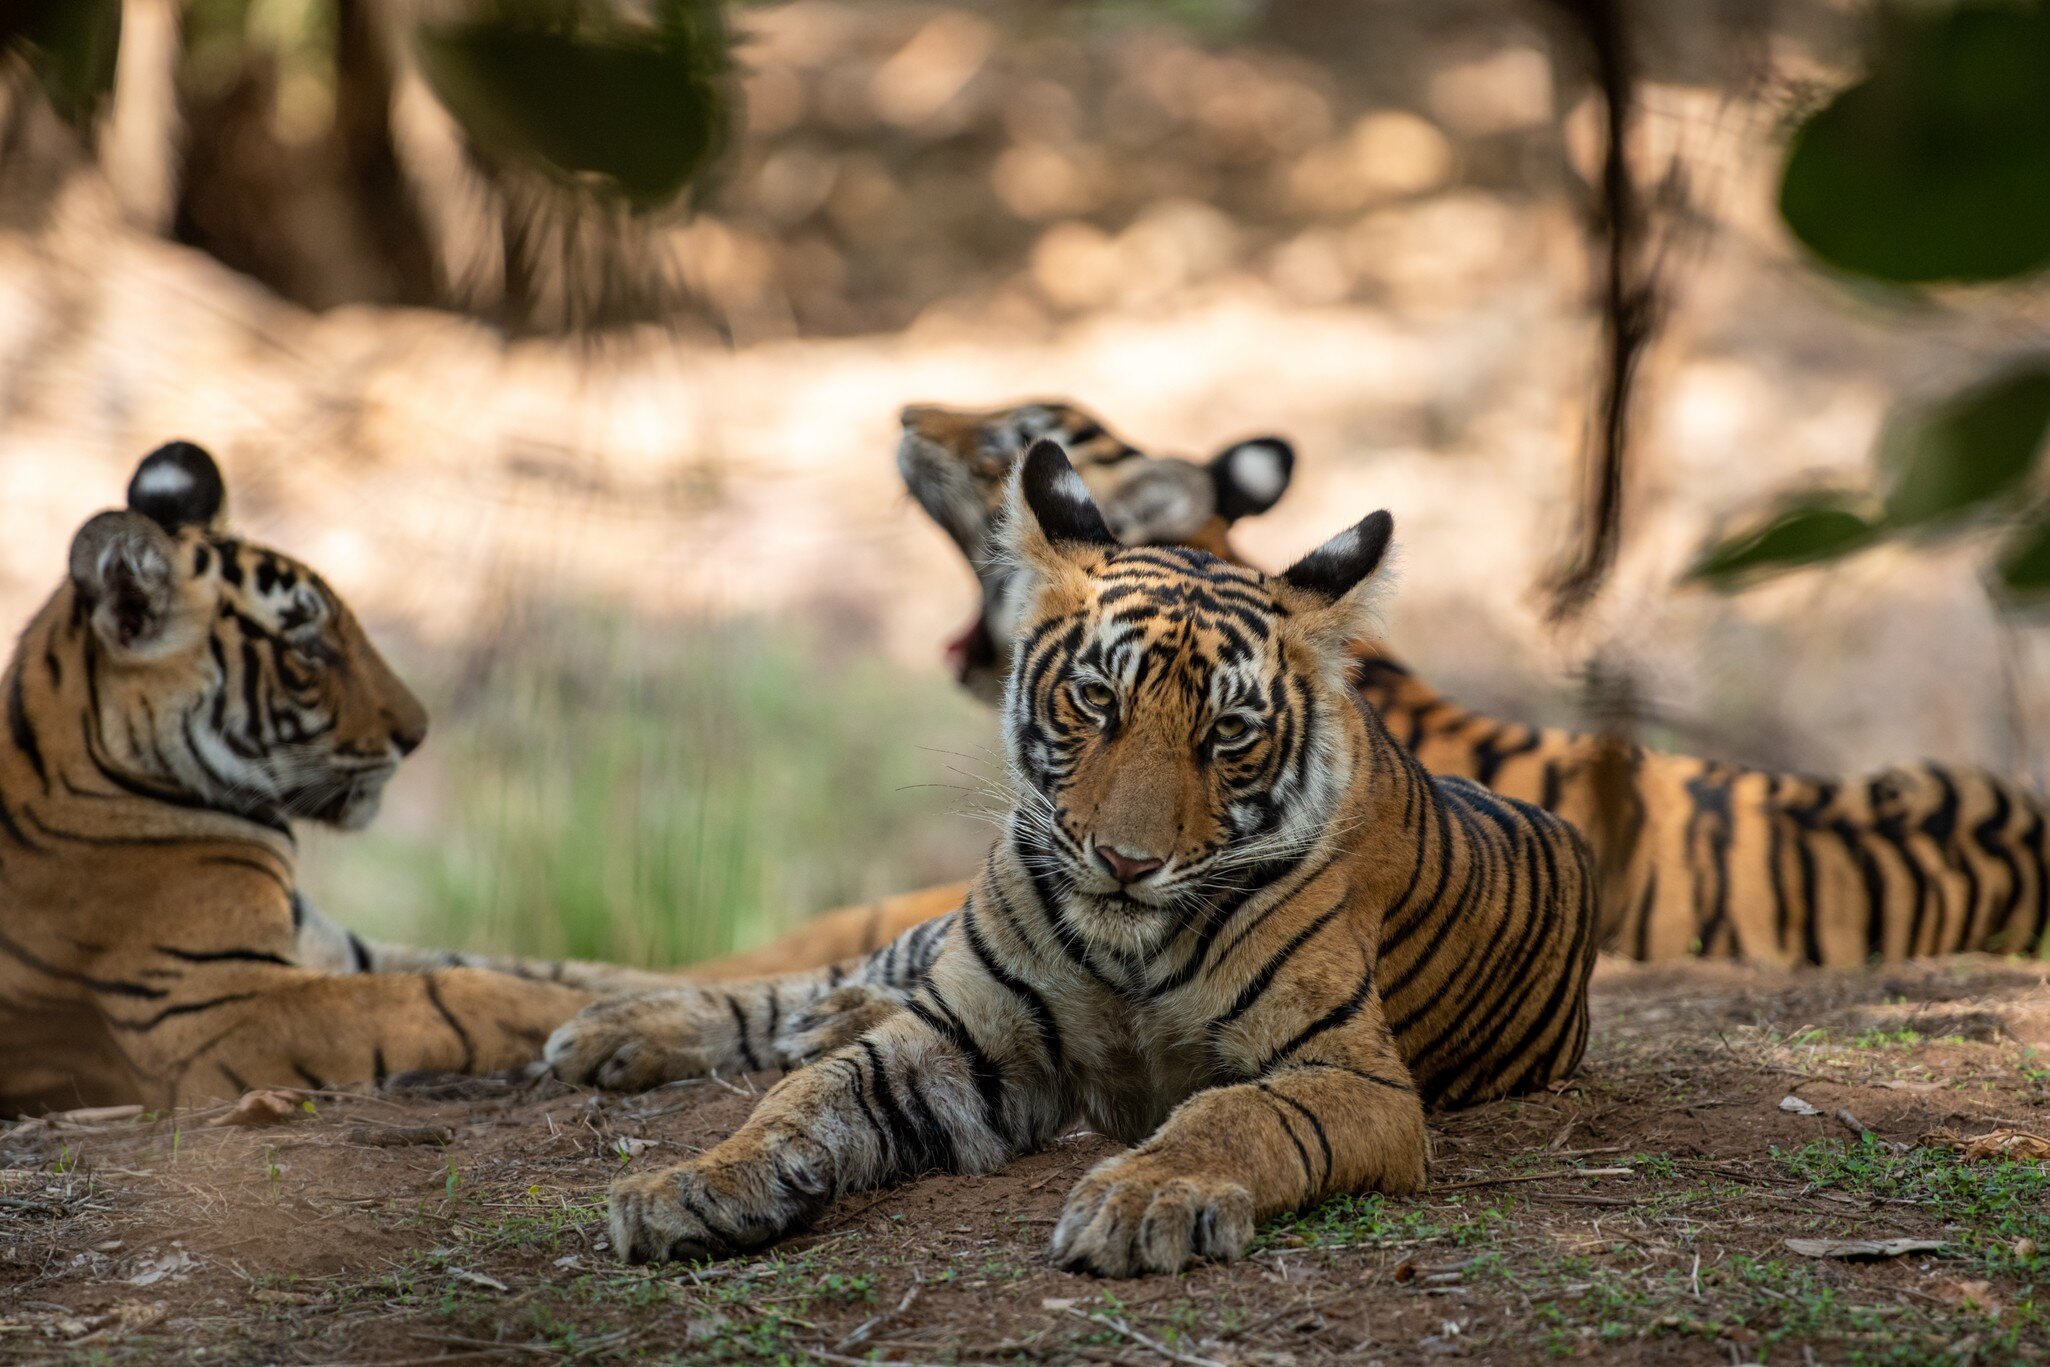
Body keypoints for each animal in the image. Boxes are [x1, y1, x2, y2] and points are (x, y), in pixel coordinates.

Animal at [0, 440, 688, 1115]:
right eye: (309, 646)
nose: (417, 733)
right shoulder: (217, 1002)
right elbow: (459, 995)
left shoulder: (328, 945)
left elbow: (558, 967)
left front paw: (678, 1005)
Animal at [557, 440, 1598, 1275]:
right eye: (1098, 698)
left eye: (1228, 733)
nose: (1127, 862)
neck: (1127, 948)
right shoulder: (966, 1038)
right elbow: (806, 1096)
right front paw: (692, 1184)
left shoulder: (1350, 1075)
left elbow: (1235, 1113)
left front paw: (1143, 1198)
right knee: (814, 986)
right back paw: (620, 1029)